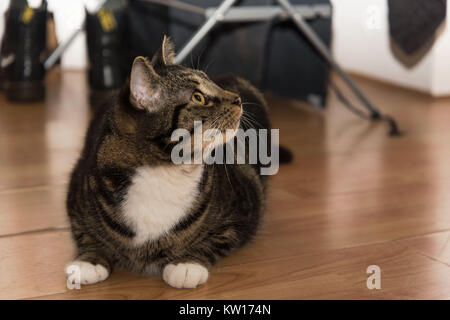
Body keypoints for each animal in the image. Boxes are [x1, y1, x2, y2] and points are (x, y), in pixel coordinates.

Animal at [66, 36, 274, 288]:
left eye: (211, 83)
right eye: (198, 97)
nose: (237, 99)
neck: (165, 170)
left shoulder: (244, 211)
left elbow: (217, 239)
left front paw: (187, 265)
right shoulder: (76, 194)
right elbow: (86, 233)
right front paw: (89, 261)